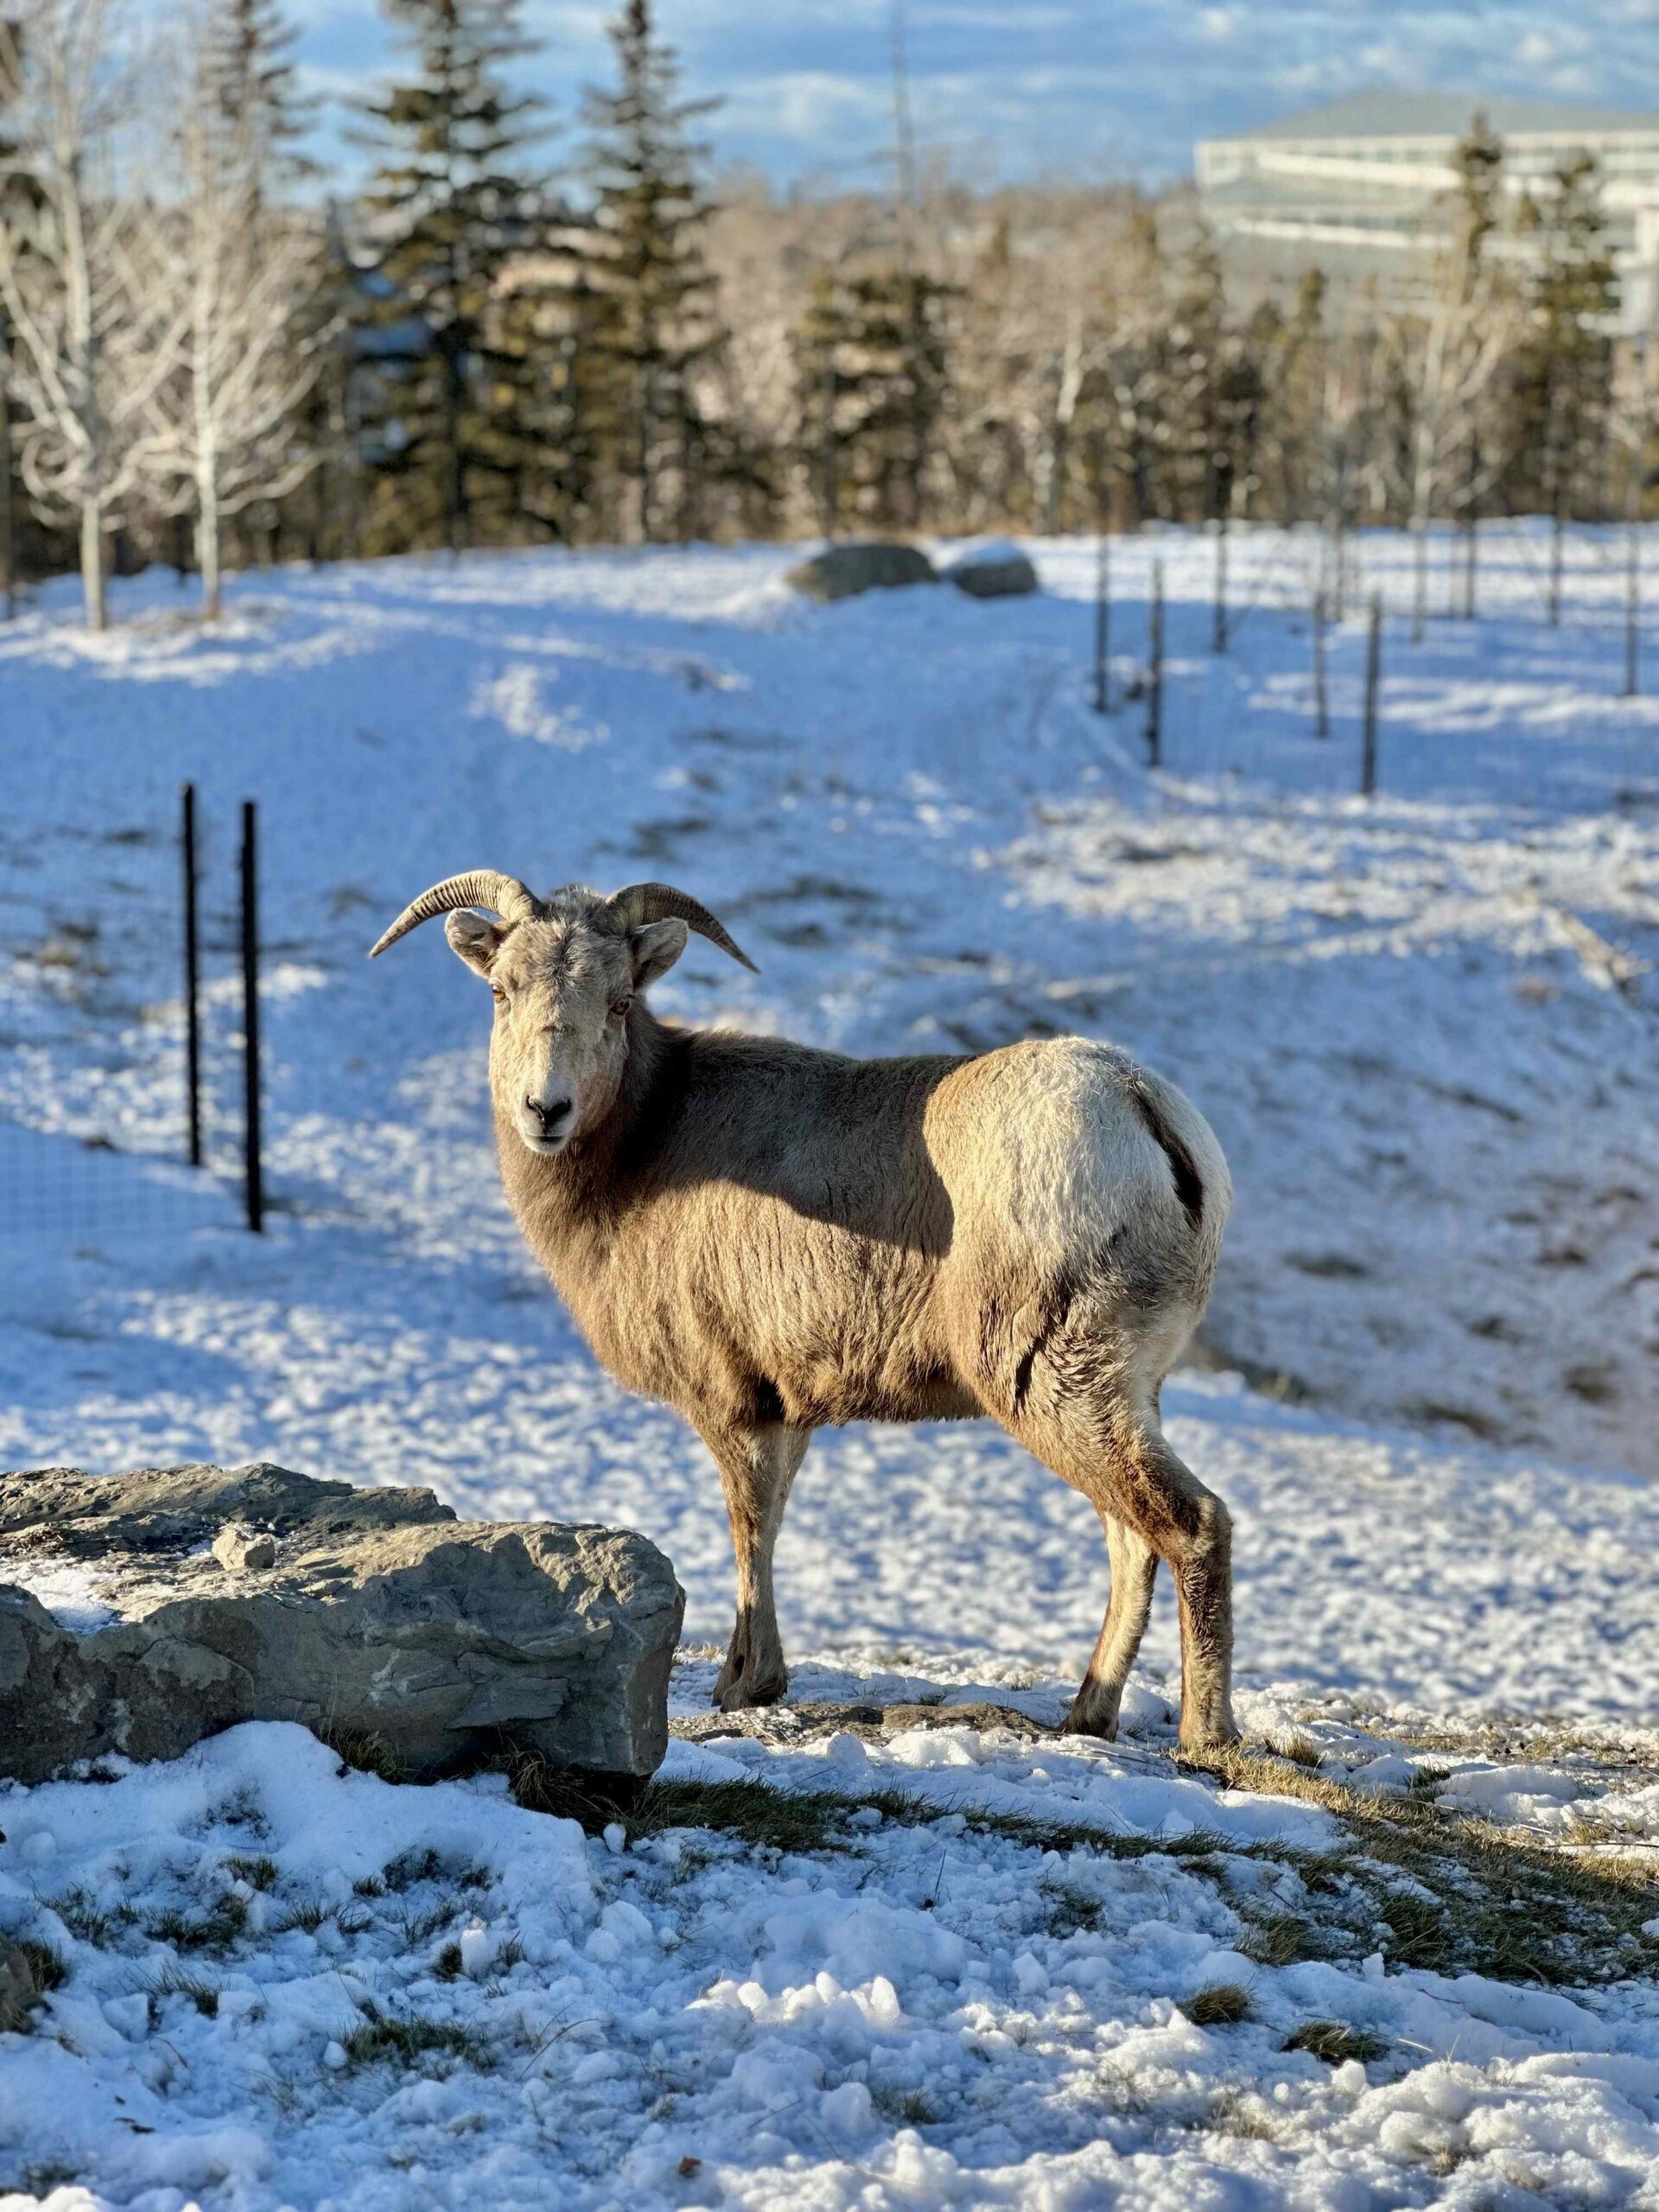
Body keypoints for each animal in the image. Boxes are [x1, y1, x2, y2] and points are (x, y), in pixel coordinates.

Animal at [370, 870, 1239, 1750]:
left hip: (1054, 1382)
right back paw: (1087, 1712)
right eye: (500, 990)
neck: (638, 1160)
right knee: (1131, 1537)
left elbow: (750, 1528)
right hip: (1123, 1388)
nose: (545, 1111)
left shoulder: (731, 1401)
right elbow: (773, 1519)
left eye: (618, 1000)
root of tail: (1144, 1108)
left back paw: (1205, 1736)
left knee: (1190, 1521)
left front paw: (744, 1684)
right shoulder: (786, 1408)